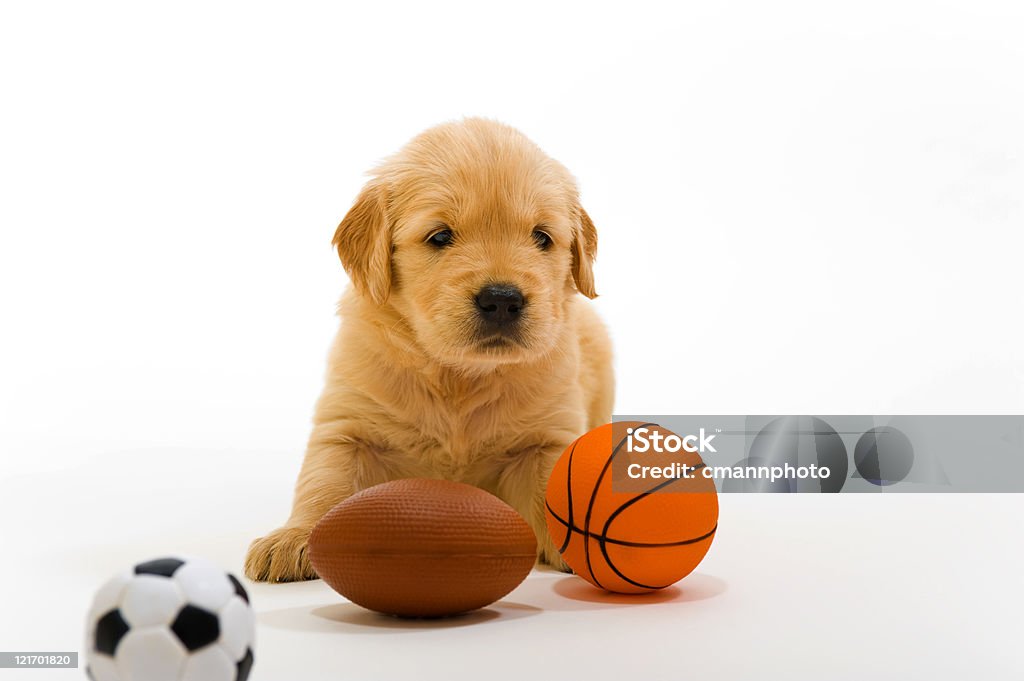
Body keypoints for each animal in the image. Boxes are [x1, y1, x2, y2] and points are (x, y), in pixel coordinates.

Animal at [245, 116, 614, 577]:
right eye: (440, 237)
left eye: (542, 238)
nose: (502, 300)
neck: (457, 375)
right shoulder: (348, 427)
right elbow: (325, 482)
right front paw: (294, 537)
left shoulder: (547, 437)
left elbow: (557, 485)